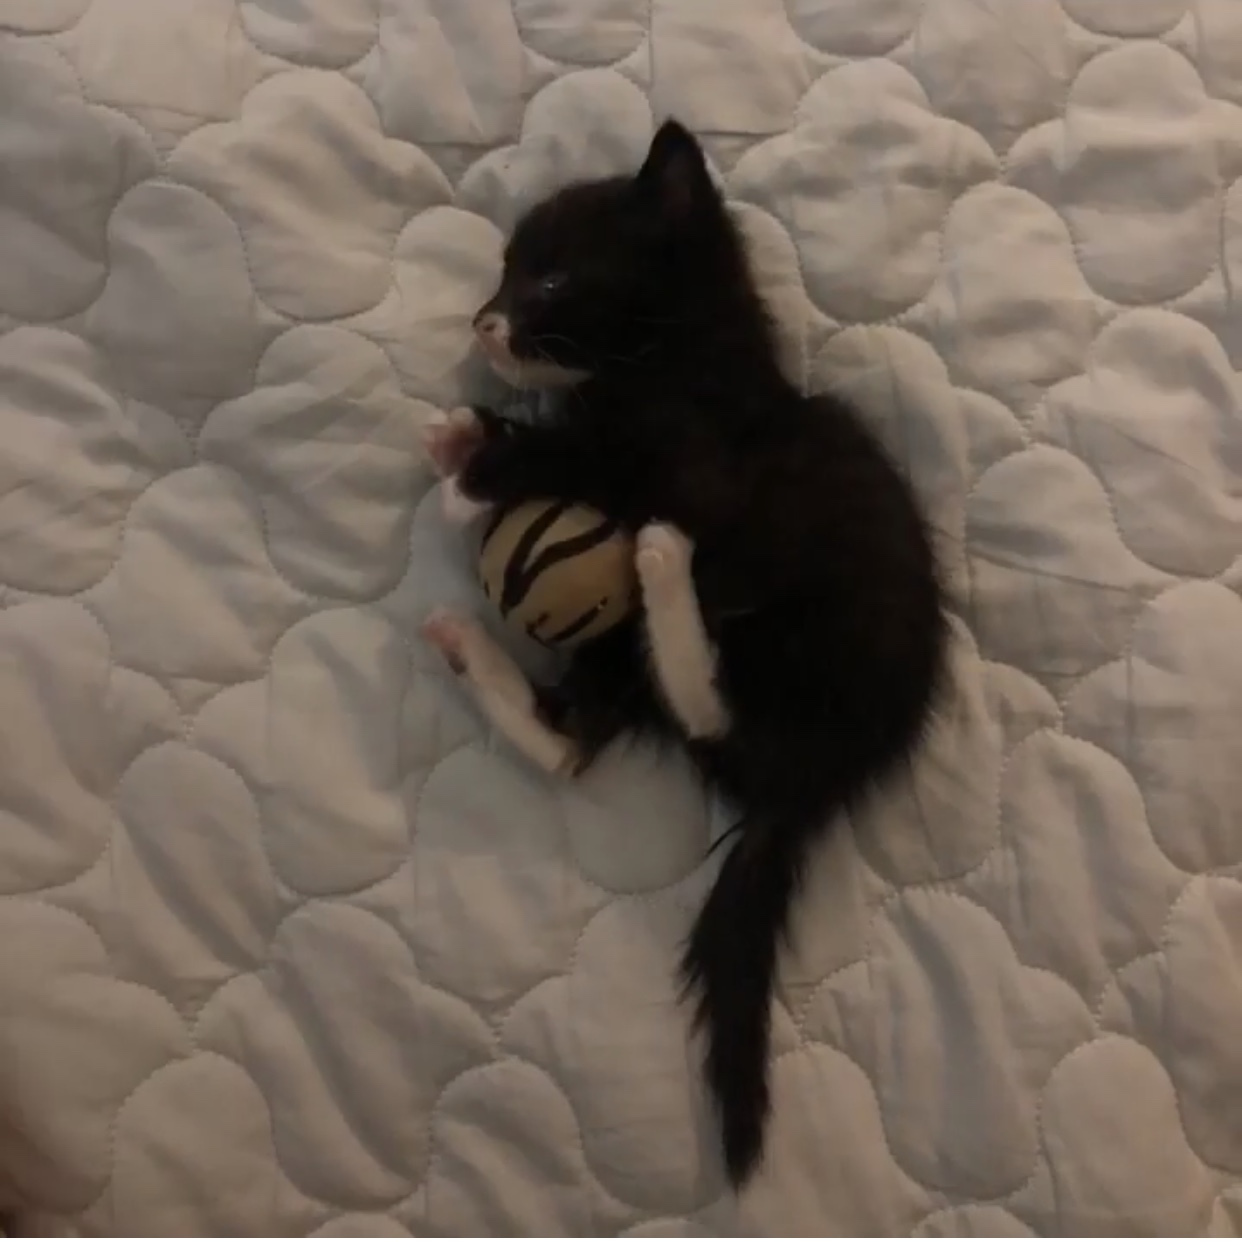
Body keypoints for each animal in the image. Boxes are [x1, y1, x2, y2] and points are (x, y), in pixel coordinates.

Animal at [421, 120, 949, 1187]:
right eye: (505, 271)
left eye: (550, 278)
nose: (483, 323)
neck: (670, 363)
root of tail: (822, 780)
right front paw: (464, 437)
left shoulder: (691, 468)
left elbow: (590, 465)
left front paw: (478, 471)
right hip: (641, 667)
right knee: (574, 743)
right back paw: (470, 646)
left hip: (818, 631)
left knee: (712, 709)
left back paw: (662, 567)